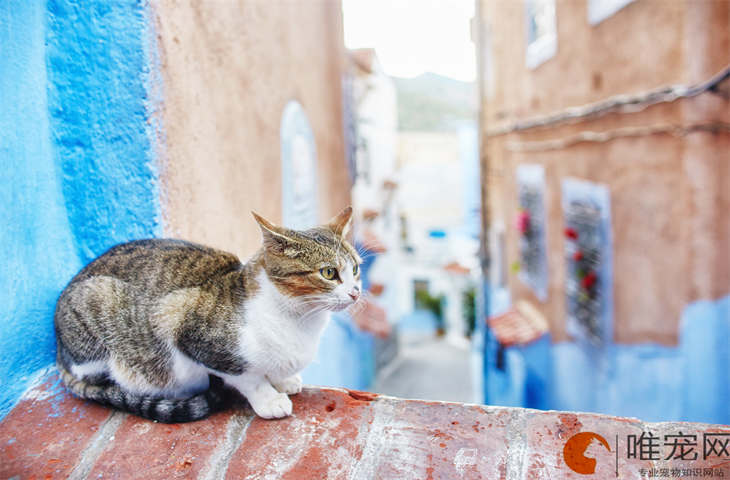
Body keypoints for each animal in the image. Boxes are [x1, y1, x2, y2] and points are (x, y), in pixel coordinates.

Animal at [54, 208, 362, 422]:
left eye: (356, 269)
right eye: (329, 273)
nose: (356, 293)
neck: (301, 321)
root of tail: (59, 349)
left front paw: (284, 380)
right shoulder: (178, 321)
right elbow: (249, 378)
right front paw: (269, 400)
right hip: (100, 306)